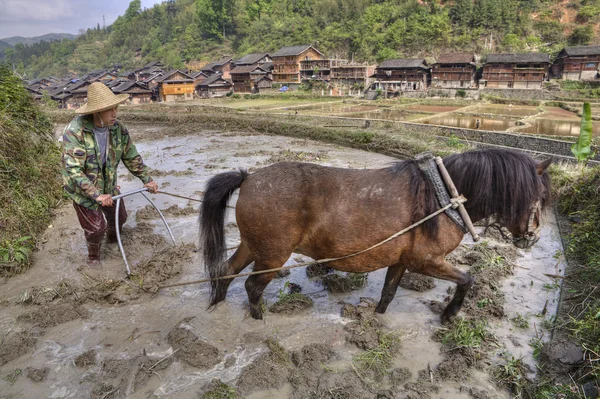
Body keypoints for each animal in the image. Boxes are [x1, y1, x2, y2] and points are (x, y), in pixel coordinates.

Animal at [199, 148, 552, 324]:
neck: (443, 197)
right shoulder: (426, 260)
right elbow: (468, 279)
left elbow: (389, 293)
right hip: (273, 254)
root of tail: (248, 178)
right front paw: (450, 314)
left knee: (226, 272)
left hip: (253, 246)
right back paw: (258, 318)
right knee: (252, 286)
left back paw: (217, 303)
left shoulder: (402, 259)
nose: (533, 238)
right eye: (539, 196)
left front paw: (375, 319)